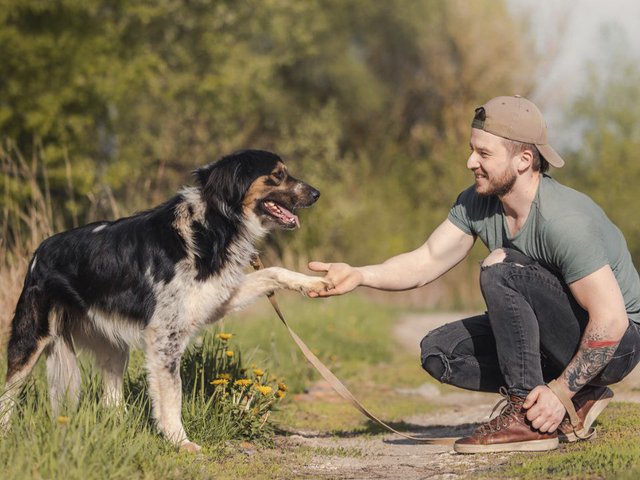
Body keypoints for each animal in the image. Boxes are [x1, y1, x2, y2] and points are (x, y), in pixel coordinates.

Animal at [0, 149, 328, 450]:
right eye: (278, 175)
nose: (316, 194)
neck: (213, 224)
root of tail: (39, 251)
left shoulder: (216, 298)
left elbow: (274, 272)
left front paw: (314, 283)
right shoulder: (165, 336)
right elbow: (172, 394)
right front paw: (180, 442)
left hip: (113, 348)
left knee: (111, 400)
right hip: (32, 339)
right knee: (9, 392)